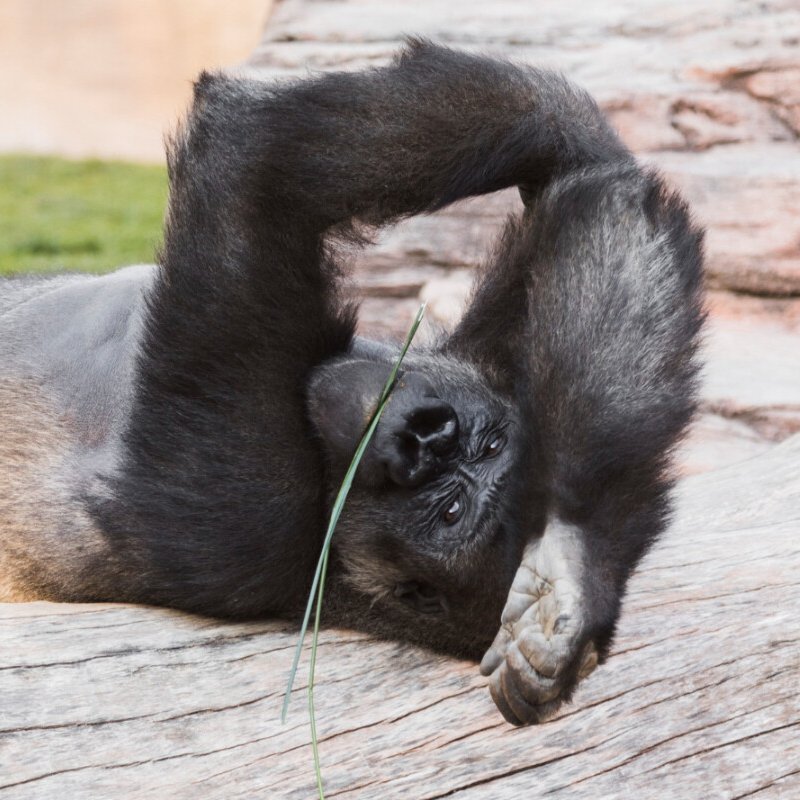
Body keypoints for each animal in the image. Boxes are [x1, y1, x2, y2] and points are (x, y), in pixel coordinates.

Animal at [0, 41, 704, 725]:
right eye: (487, 443)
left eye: (450, 511)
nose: (424, 437)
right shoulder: (488, 356)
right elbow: (581, 160)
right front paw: (581, 552)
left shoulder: (246, 512)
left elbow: (264, 164)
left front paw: (572, 564)